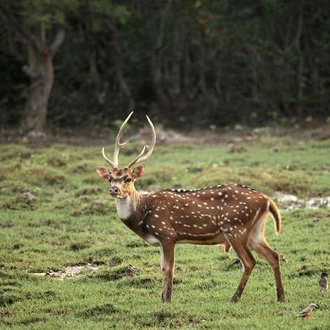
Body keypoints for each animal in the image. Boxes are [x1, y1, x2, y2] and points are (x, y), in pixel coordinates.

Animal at [95, 112, 286, 302]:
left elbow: (168, 268)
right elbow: (162, 268)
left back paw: (234, 298)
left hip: (235, 227)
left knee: (249, 262)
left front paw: (167, 300)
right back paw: (281, 297)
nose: (114, 189)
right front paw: (163, 299)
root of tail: (268, 200)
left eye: (128, 178)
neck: (143, 215)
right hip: (255, 231)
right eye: (110, 178)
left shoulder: (167, 234)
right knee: (274, 255)